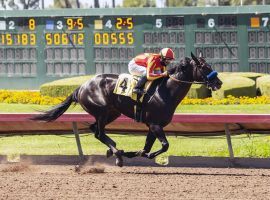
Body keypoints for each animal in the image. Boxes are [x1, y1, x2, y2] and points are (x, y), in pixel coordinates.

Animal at [31, 52, 221, 166]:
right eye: (204, 67)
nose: (219, 83)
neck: (165, 91)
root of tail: (80, 87)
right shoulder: (155, 125)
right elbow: (165, 145)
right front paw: (143, 155)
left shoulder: (153, 126)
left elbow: (146, 148)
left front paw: (136, 153)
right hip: (102, 111)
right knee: (99, 132)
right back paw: (117, 154)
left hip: (113, 112)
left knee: (95, 130)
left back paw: (115, 150)